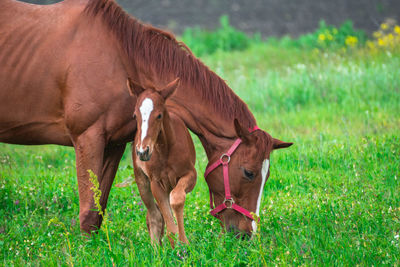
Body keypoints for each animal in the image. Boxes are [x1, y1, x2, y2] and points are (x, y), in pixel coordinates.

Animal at [128, 78, 197, 246]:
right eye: (134, 115)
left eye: (159, 115)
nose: (142, 152)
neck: (166, 151)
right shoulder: (155, 183)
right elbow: (168, 225)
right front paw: (177, 247)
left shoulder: (190, 175)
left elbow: (177, 199)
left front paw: (184, 243)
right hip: (141, 181)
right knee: (154, 216)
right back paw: (155, 249)